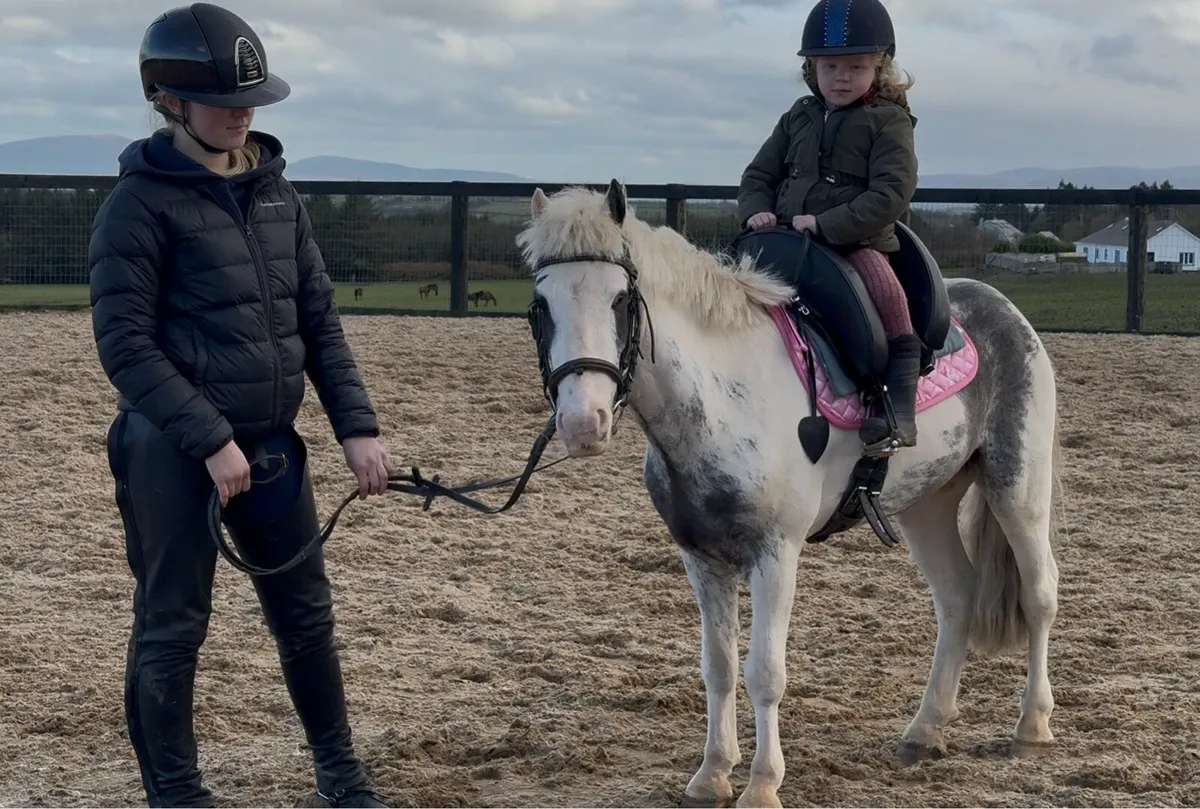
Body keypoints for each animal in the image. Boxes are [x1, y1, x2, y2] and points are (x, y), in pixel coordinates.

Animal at [515, 180, 1062, 808]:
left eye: (620, 301)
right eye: (541, 306)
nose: (583, 423)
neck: (727, 394)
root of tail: (1000, 305)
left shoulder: (775, 554)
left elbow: (764, 673)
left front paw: (761, 784)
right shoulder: (702, 558)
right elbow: (719, 667)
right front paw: (712, 774)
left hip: (1017, 487)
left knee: (1040, 593)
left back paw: (1031, 727)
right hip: (928, 503)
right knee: (957, 598)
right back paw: (925, 730)